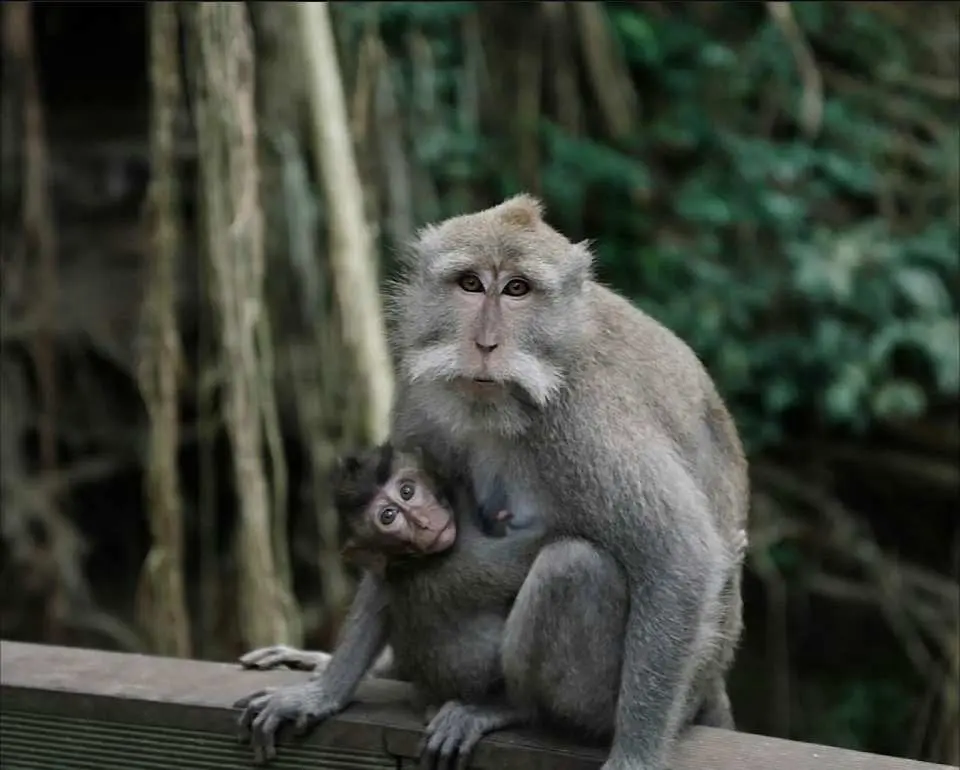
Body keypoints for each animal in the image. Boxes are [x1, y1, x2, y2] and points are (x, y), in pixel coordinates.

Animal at [236, 194, 750, 770]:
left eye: (517, 289)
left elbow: (679, 557)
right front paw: (323, 692)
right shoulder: (420, 395)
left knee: (572, 566)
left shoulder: (588, 421)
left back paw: (514, 710)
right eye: (470, 284)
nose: (485, 343)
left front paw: (633, 758)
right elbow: (387, 563)